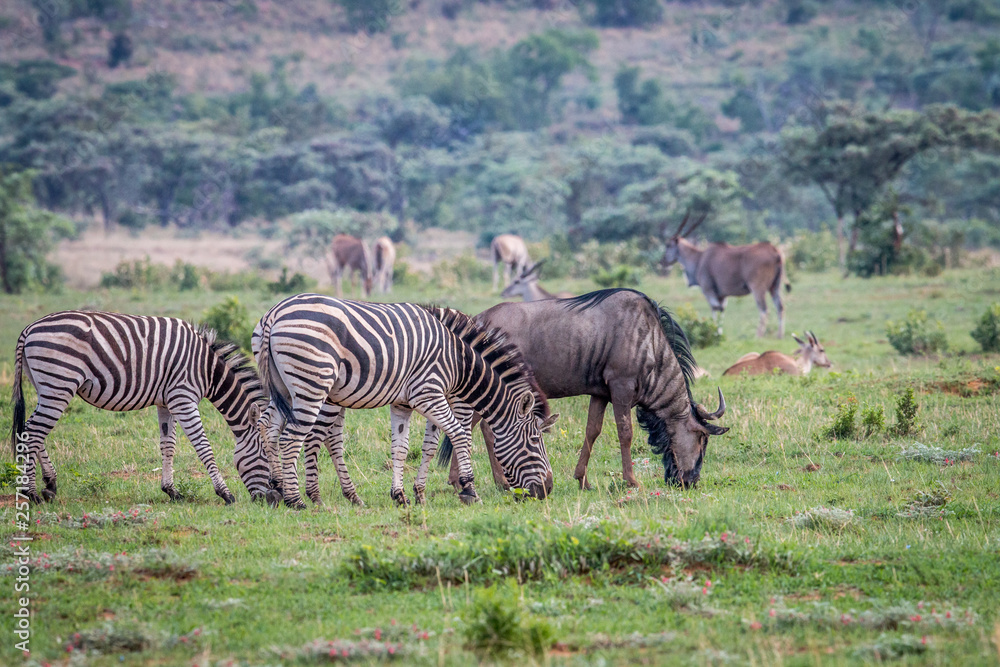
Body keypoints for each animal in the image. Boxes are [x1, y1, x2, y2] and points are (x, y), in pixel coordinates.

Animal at [10, 311, 277, 505]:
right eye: (265, 455)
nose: (273, 500)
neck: (207, 370)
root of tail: (28, 329)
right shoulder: (183, 398)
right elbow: (204, 446)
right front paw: (225, 493)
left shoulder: (167, 402)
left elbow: (168, 445)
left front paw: (171, 491)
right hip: (59, 383)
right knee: (33, 432)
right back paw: (31, 493)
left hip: (46, 387)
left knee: (31, 428)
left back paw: (50, 485)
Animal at [254, 294, 556, 509]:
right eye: (534, 441)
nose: (547, 490)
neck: (457, 361)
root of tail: (274, 314)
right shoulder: (430, 393)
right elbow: (459, 435)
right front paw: (469, 489)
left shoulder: (406, 402)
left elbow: (407, 448)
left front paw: (405, 495)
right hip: (313, 384)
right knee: (295, 438)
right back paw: (300, 500)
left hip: (285, 390)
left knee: (269, 427)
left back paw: (278, 488)